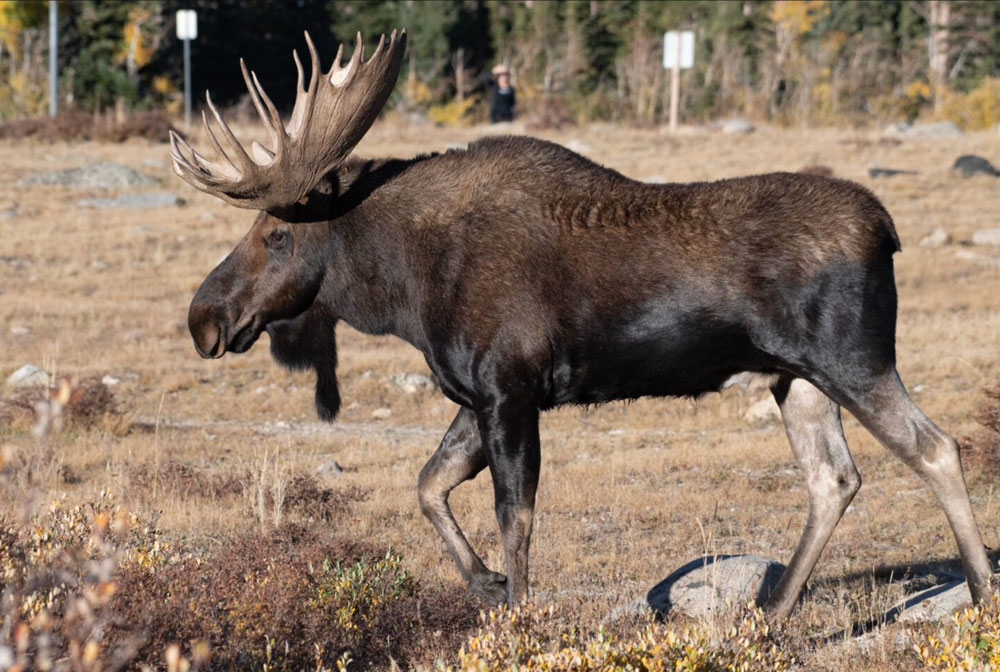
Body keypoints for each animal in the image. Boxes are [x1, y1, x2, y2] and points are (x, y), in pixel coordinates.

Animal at [172, 32, 992, 620]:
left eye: (276, 233)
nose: (203, 319)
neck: (403, 287)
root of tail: (887, 231)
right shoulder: (477, 395)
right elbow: (428, 484)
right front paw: (488, 585)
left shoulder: (509, 389)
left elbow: (515, 514)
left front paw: (518, 611)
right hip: (797, 379)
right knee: (834, 480)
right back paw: (778, 609)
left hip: (854, 359)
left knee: (936, 448)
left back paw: (981, 591)